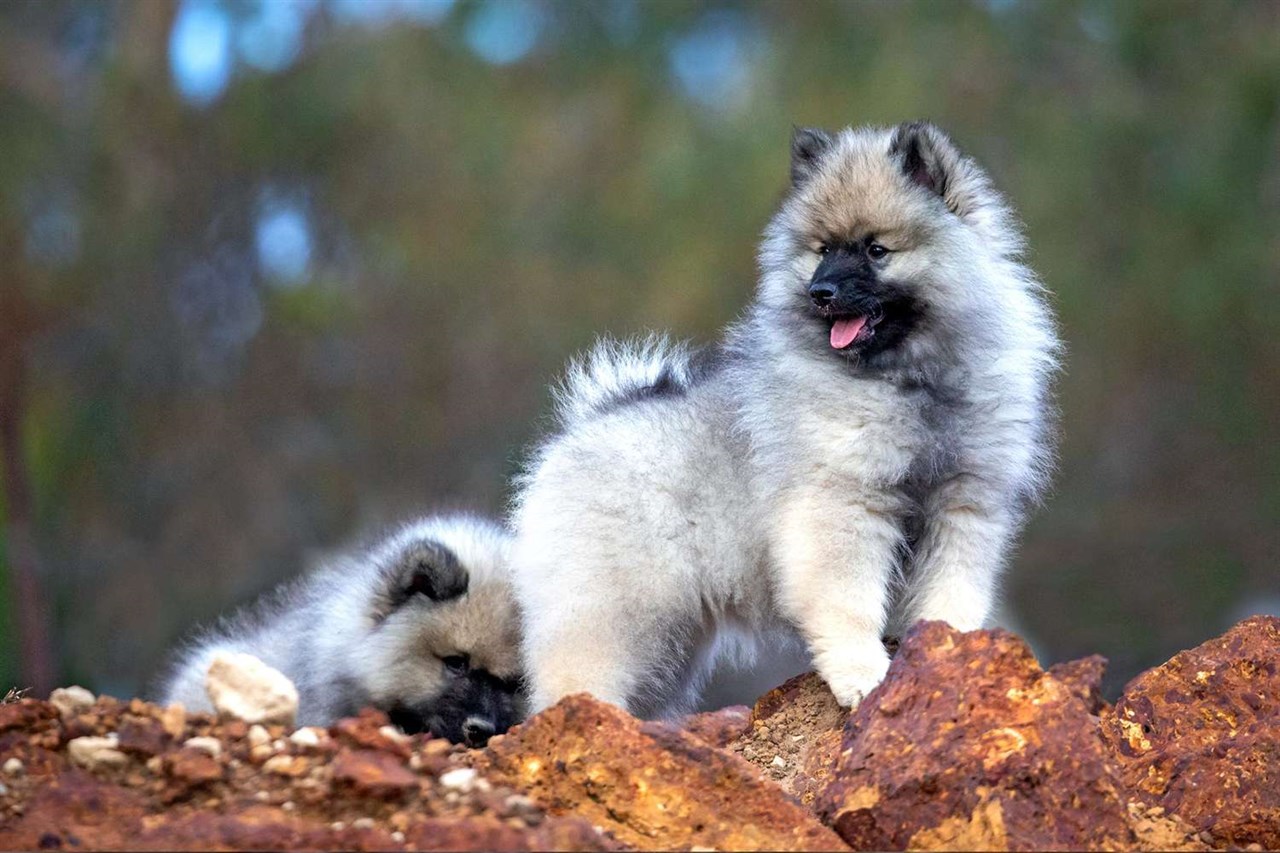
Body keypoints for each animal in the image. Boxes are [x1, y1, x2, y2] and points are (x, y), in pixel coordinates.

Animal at [509, 122, 1059, 712]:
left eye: (876, 250)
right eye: (822, 250)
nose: (821, 292)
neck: (909, 381)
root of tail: (580, 430)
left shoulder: (963, 506)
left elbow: (951, 598)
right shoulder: (843, 508)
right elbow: (849, 606)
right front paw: (864, 677)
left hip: (669, 646)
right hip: (616, 617)